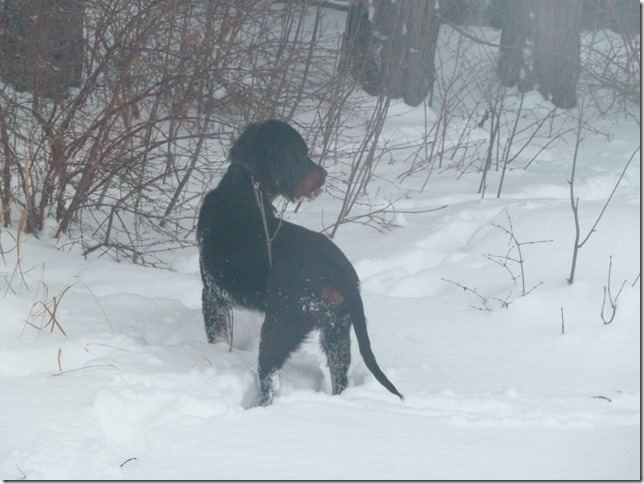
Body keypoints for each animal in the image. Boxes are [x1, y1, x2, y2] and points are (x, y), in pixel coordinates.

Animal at [196, 120, 402, 404]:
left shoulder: (212, 293)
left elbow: (216, 336)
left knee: (270, 381)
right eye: (299, 154)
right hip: (336, 329)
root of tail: (339, 268)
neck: (246, 185)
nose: (324, 174)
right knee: (341, 377)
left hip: (280, 326)